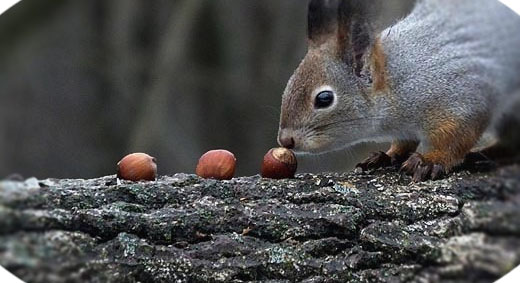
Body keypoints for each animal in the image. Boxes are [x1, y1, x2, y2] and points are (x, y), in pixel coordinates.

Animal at [278, 0, 520, 182]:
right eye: (287, 87)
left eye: (324, 98)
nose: (286, 141)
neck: (398, 83)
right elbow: (404, 142)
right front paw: (387, 156)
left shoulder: (464, 97)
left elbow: (457, 138)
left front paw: (429, 161)